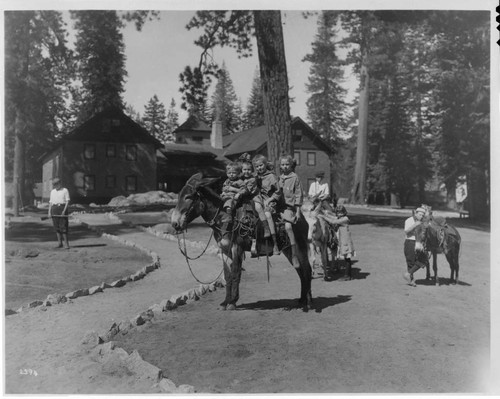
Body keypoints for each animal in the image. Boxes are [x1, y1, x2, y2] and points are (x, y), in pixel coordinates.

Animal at [172, 175, 312, 312]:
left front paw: (232, 302)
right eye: (179, 196)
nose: (175, 224)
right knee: (300, 271)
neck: (225, 218)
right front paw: (225, 302)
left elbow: (236, 273)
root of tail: (300, 218)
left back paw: (307, 303)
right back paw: (302, 300)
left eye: (188, 197)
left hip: (300, 247)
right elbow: (227, 275)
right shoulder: (224, 250)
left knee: (307, 270)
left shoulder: (237, 248)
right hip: (289, 250)